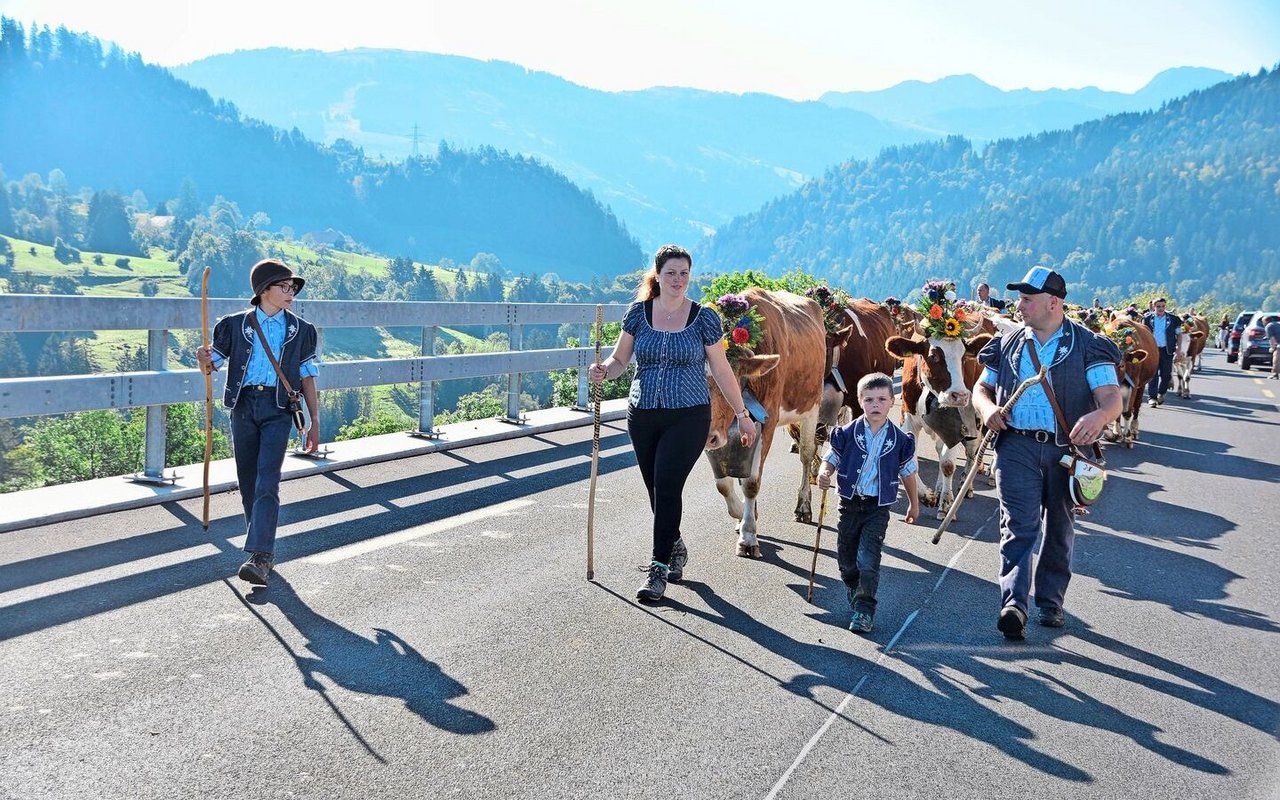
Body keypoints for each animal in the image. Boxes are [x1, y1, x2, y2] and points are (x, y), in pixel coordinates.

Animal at [706, 285, 824, 555]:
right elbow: (724, 484)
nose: (708, 435)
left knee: (806, 454)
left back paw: (804, 505)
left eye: (730, 378)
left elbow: (751, 482)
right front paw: (742, 515)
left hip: (812, 406)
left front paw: (748, 536)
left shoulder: (767, 424)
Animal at [890, 330, 988, 517]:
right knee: (940, 449)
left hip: (976, 422)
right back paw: (939, 488)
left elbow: (948, 464)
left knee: (972, 453)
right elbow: (911, 461)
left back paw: (966, 487)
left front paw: (947, 504)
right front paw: (926, 496)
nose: (960, 395)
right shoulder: (908, 417)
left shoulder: (957, 425)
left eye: (964, 356)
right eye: (933, 355)